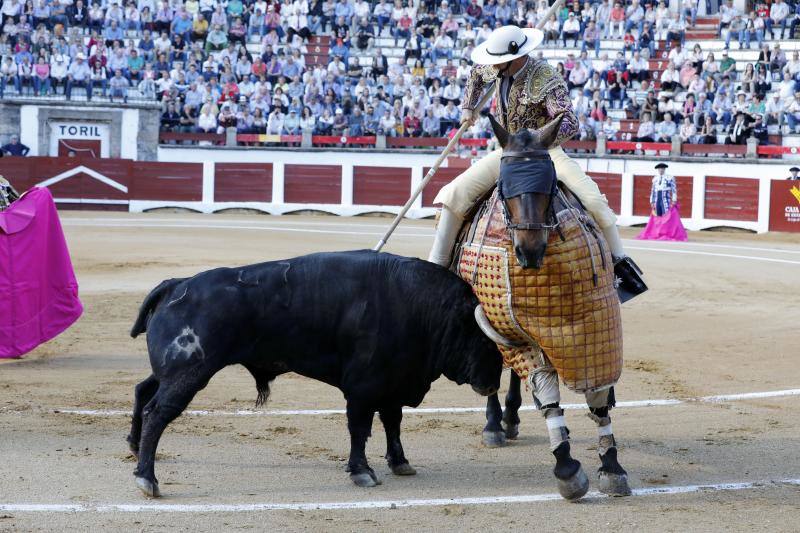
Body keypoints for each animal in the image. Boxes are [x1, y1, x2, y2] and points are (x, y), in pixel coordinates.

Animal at [128, 248, 504, 494]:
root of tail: (178, 284)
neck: (419, 307)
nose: (491, 385)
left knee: (143, 391)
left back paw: (134, 448)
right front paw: (362, 472)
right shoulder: (363, 388)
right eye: (485, 343)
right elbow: (360, 429)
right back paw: (148, 478)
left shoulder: (392, 383)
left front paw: (400, 463)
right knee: (157, 411)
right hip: (189, 373)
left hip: (171, 371)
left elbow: (392, 422)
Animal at [454, 114, 628, 500]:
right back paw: (495, 425)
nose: (528, 251)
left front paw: (611, 465)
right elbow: (547, 391)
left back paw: (511, 418)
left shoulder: (594, 329)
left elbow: (598, 396)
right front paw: (566, 468)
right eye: (504, 187)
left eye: (549, 184)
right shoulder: (507, 328)